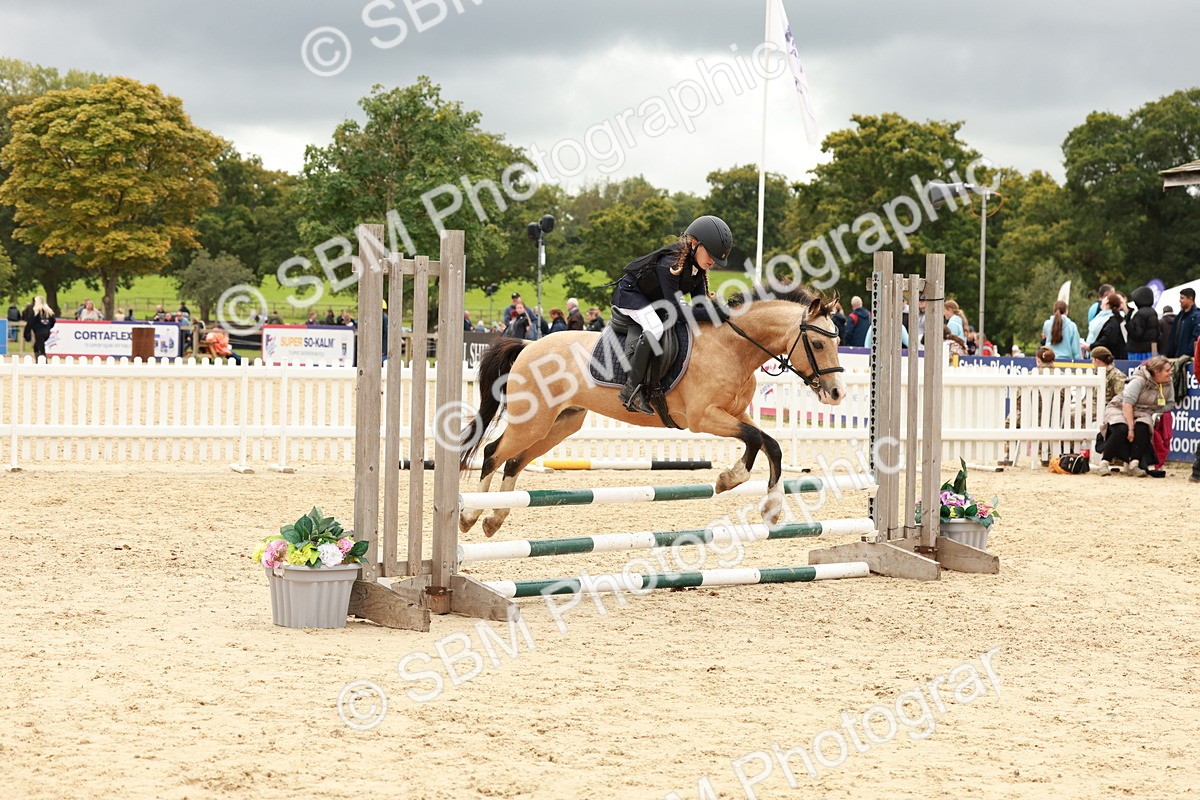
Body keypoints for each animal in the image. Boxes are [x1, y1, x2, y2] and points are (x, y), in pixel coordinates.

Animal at [459, 285, 847, 538]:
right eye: (816, 343)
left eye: (839, 340)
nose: (836, 393)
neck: (733, 347)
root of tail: (529, 344)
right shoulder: (704, 418)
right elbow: (753, 439)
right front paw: (729, 479)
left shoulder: (736, 413)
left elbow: (771, 444)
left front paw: (772, 508)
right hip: (533, 420)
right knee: (493, 453)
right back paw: (470, 515)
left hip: (559, 424)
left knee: (514, 461)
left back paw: (495, 519)